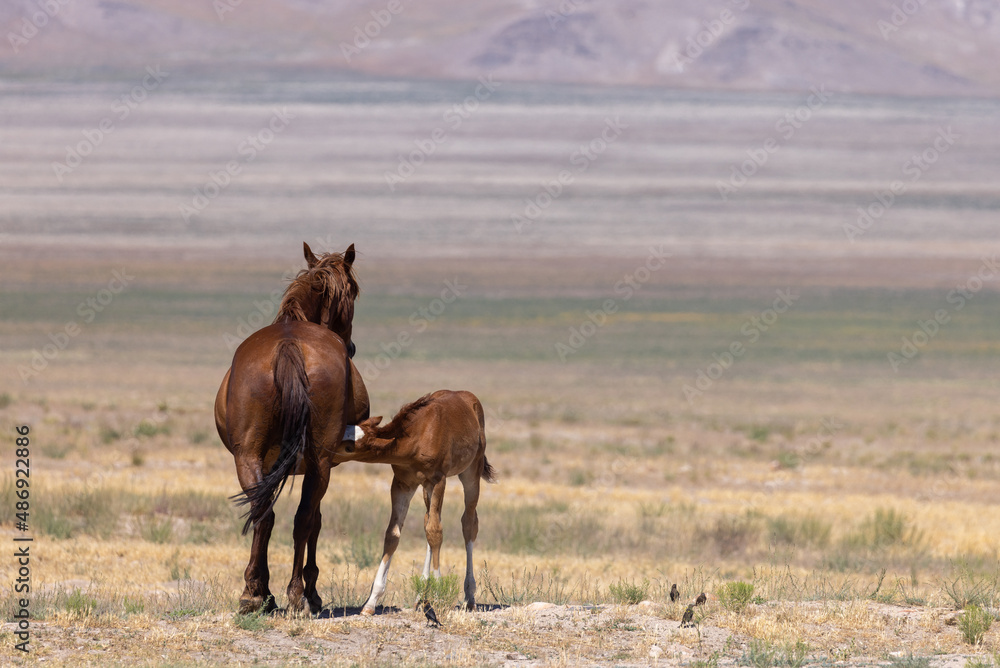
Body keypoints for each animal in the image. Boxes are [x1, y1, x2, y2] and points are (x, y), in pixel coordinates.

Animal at [213, 243, 370, 612]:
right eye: (353, 292)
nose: (351, 346)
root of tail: (288, 345)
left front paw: (263, 589)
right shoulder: (325, 464)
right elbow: (316, 521)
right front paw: (311, 591)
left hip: (248, 455)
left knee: (264, 513)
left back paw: (255, 593)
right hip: (319, 462)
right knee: (304, 518)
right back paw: (298, 594)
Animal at [334, 392, 494, 616]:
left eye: (348, 447)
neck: (418, 436)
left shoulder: (437, 480)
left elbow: (436, 532)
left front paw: (438, 595)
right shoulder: (403, 483)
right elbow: (393, 535)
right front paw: (371, 602)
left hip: (471, 472)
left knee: (468, 523)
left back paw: (469, 598)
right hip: (426, 489)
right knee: (429, 519)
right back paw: (421, 597)